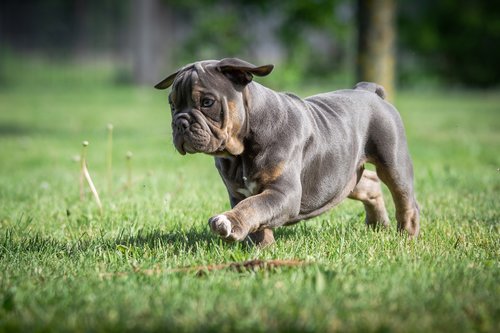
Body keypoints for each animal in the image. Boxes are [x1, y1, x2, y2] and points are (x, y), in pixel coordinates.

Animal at [154, 58, 420, 246]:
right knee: (370, 184)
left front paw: (230, 223)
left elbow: (254, 206)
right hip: (342, 176)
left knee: (405, 199)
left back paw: (406, 235)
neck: (240, 152)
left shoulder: (282, 193)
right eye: (172, 104)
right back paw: (377, 225)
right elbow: (258, 217)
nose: (180, 122)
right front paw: (262, 249)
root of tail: (368, 90)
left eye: (207, 102)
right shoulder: (238, 193)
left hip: (393, 162)